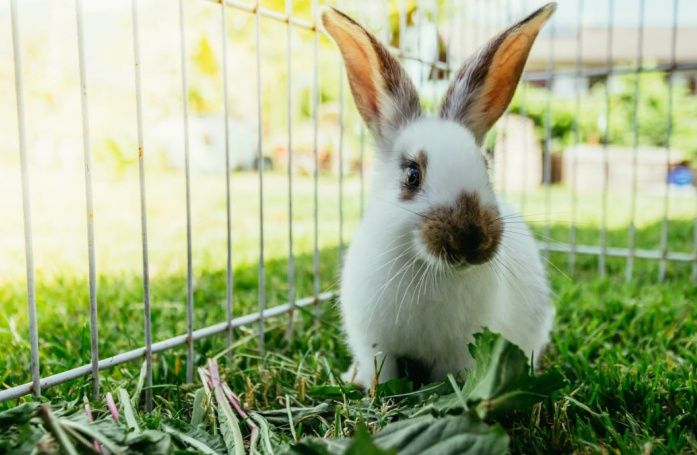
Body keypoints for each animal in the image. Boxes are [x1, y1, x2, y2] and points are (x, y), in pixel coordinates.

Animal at [320, 3, 557, 388]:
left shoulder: (461, 351)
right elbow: (381, 372)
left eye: (486, 167)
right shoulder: (375, 344)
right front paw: (371, 388)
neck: (428, 270)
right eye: (412, 175)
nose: (472, 239)